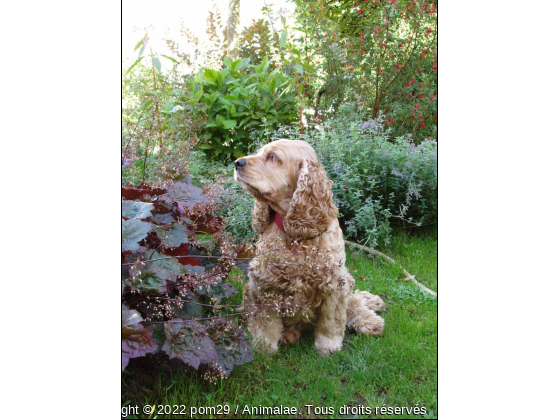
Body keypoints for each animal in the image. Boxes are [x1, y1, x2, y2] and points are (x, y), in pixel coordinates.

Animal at [233, 140, 384, 354]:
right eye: (259, 152)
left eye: (273, 157)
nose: (237, 162)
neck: (297, 237)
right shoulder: (264, 283)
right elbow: (266, 322)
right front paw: (263, 346)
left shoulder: (335, 283)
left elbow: (331, 321)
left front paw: (328, 346)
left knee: (353, 303)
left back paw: (370, 321)